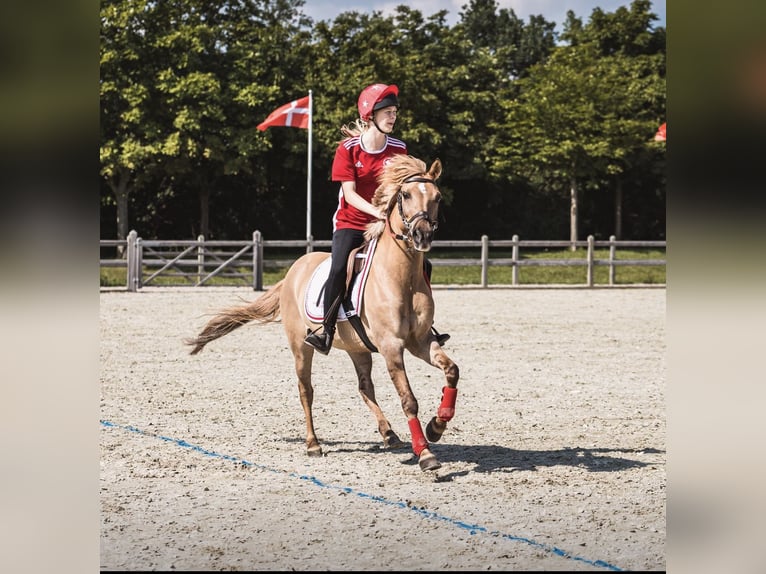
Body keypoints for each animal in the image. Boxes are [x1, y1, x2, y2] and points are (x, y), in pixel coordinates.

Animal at [186, 155, 462, 474]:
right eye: (405, 195)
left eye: (437, 197)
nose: (422, 235)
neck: (400, 276)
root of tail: (292, 271)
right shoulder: (392, 346)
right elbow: (409, 400)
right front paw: (426, 453)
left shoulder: (420, 342)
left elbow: (452, 371)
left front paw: (437, 426)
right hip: (301, 347)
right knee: (306, 390)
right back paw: (313, 444)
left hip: (358, 347)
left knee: (364, 387)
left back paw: (389, 434)